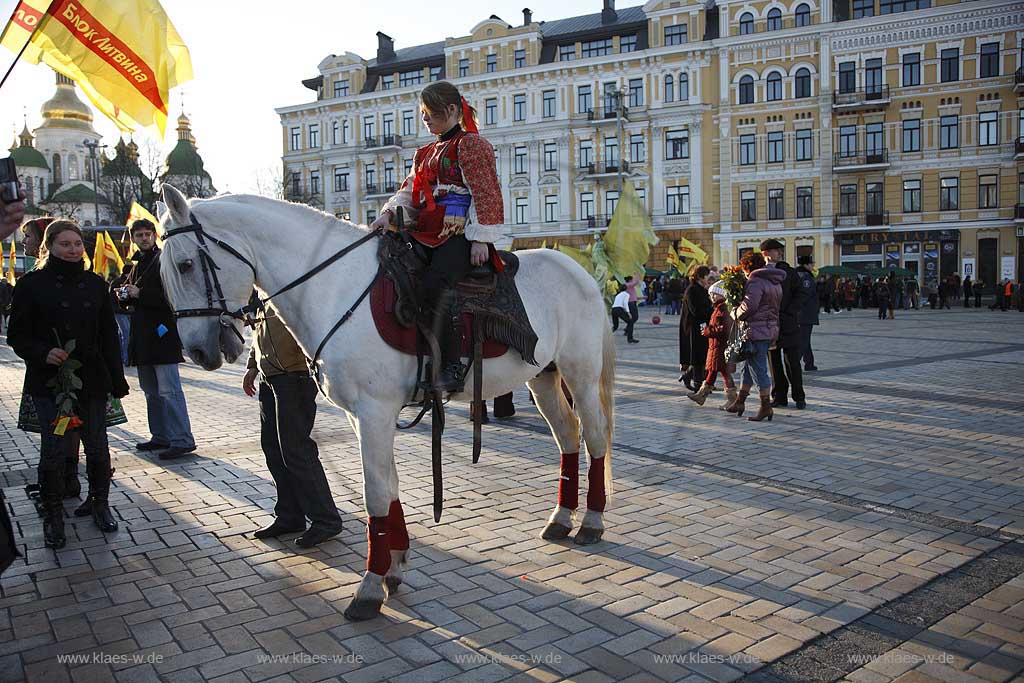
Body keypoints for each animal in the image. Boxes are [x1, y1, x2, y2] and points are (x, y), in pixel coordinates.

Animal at [159, 185, 614, 618]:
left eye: (185, 265)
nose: (196, 351)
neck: (335, 286)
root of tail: (579, 271)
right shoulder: (359, 417)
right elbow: (389, 487)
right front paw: (394, 568)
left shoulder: (375, 411)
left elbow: (374, 494)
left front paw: (369, 588)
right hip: (543, 377)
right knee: (568, 437)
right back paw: (562, 517)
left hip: (580, 374)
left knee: (594, 438)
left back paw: (591, 520)